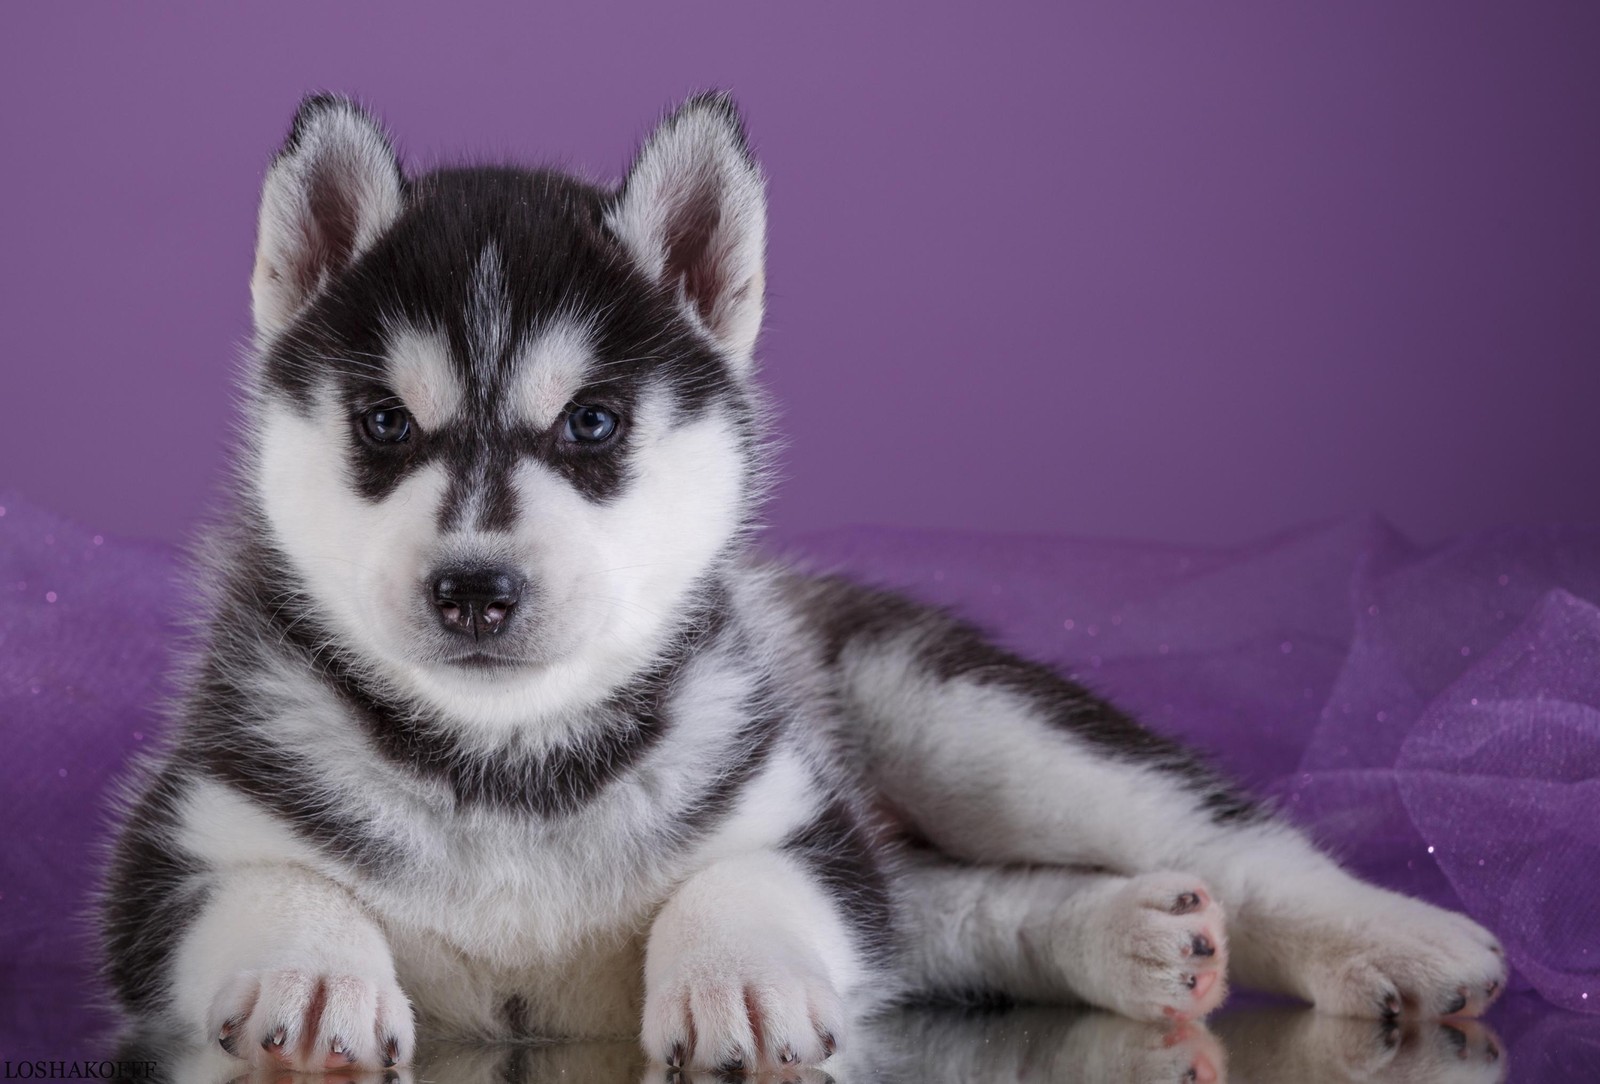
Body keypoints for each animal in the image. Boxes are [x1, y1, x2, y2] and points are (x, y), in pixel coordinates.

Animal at [103, 95, 1510, 1080]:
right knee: (943, 904)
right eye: (384, 425)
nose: (474, 591)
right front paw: (314, 969)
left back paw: (1389, 936)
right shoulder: (168, 853)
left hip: (954, 716)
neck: (509, 768)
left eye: (595, 423)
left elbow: (744, 879)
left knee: (1221, 836)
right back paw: (1134, 935)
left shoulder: (796, 816)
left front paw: (736, 977)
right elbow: (278, 884)